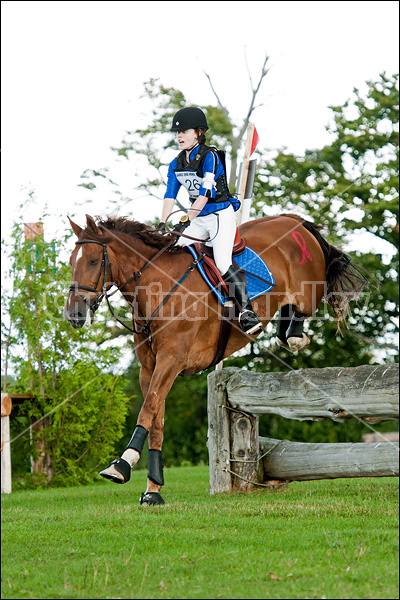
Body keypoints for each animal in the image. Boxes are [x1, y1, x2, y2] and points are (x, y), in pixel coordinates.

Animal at [64, 213, 368, 504]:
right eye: (70, 262)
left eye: (93, 261)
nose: (73, 314)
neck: (158, 287)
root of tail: (295, 220)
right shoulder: (149, 367)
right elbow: (156, 420)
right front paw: (153, 489)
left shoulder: (171, 360)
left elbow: (148, 409)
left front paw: (121, 465)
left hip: (307, 290)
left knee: (304, 309)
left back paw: (289, 333)